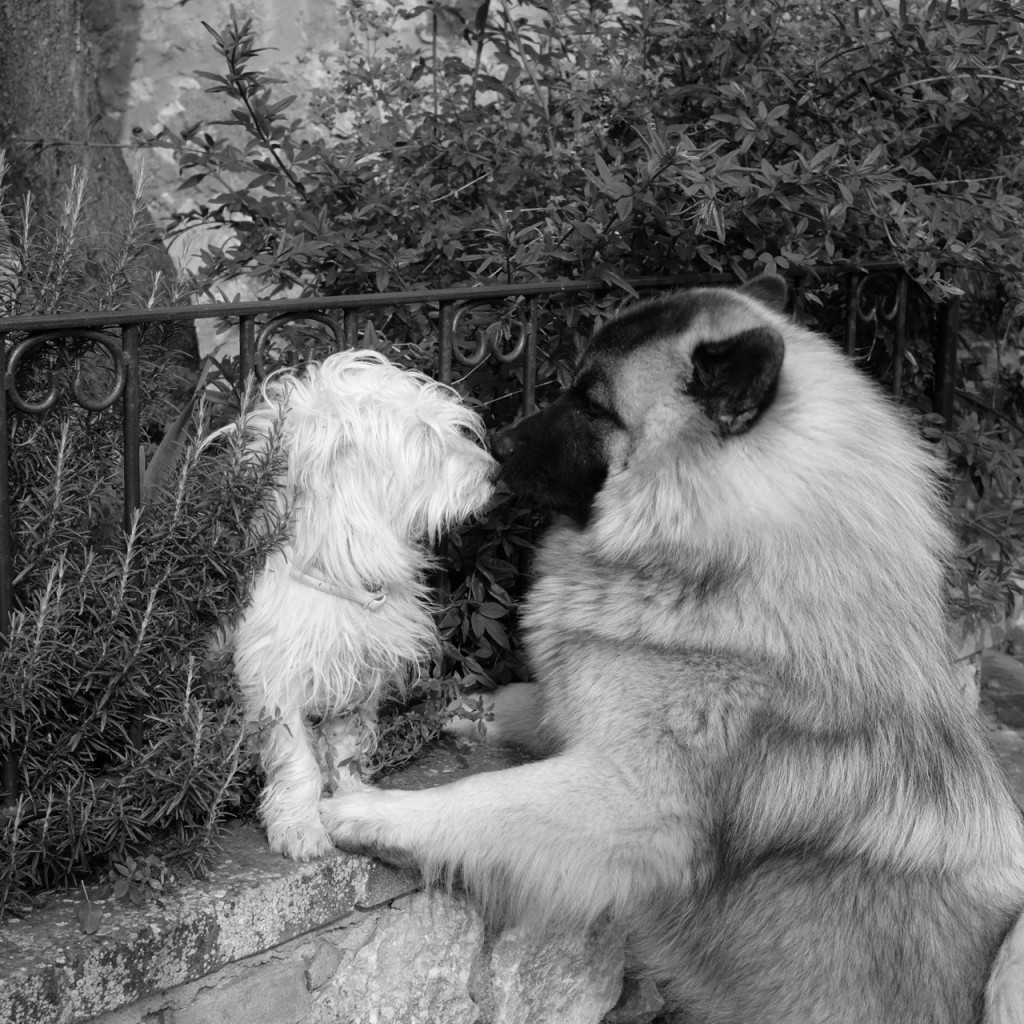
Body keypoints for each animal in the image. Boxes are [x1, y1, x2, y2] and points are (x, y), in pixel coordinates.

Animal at [232, 348, 495, 860]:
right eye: (425, 439)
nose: (495, 470)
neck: (342, 564)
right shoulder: (275, 682)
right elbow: (298, 762)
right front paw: (299, 825)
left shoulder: (357, 671)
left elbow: (347, 749)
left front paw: (354, 805)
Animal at [323, 280, 1024, 1024]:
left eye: (594, 404)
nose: (498, 443)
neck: (723, 560)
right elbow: (520, 705)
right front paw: (456, 712)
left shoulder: (627, 799)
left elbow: (481, 797)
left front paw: (372, 811)